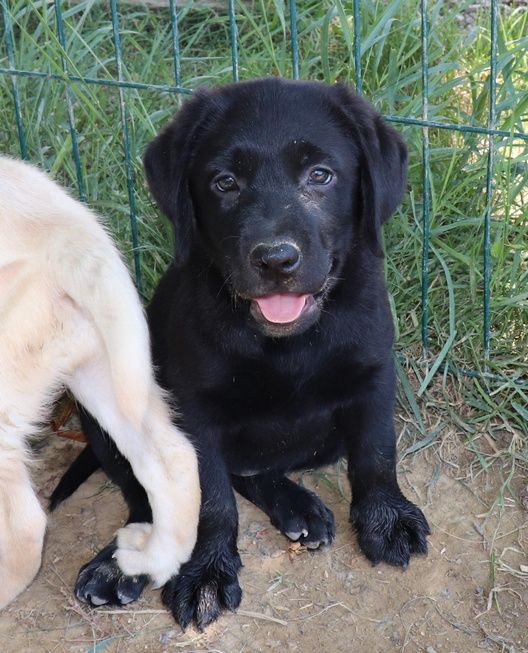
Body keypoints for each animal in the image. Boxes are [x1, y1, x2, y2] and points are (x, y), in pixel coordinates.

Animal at [52, 76, 428, 628]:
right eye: (224, 183)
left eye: (320, 175)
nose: (275, 259)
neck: (282, 341)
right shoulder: (192, 410)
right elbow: (209, 498)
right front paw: (205, 572)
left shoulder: (373, 375)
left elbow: (376, 453)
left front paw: (386, 519)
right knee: (150, 493)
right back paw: (122, 564)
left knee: (252, 471)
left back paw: (297, 508)